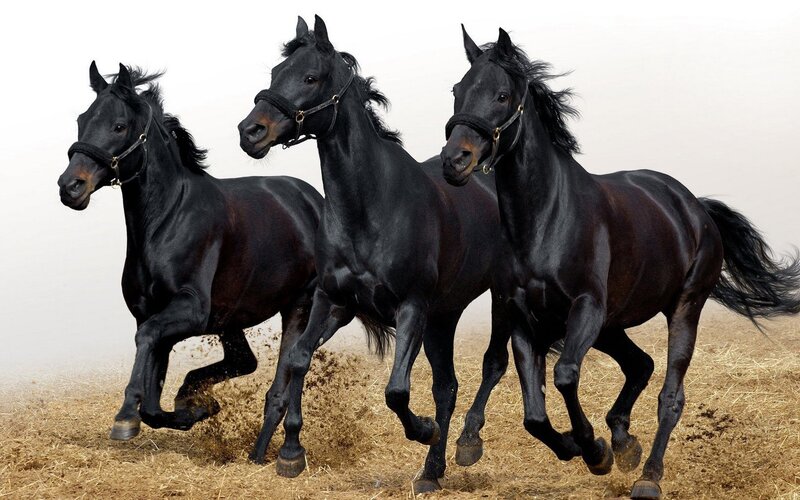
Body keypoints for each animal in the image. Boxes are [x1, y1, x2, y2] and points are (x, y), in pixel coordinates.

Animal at [57, 62, 327, 444]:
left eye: (119, 125)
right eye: (82, 120)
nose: (70, 187)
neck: (167, 221)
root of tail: (314, 200)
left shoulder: (190, 310)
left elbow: (146, 341)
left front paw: (125, 417)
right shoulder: (153, 313)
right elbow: (153, 401)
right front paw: (195, 409)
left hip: (298, 305)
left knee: (281, 374)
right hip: (231, 318)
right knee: (245, 361)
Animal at [235, 15, 550, 492]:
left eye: (310, 77)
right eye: (275, 72)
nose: (250, 132)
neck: (371, 207)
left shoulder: (411, 308)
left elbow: (397, 390)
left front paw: (423, 430)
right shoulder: (332, 300)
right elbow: (298, 359)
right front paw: (290, 453)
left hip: (495, 299)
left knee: (491, 364)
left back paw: (464, 444)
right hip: (442, 317)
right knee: (447, 387)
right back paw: (431, 473)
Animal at [440, 27, 800, 499]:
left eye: (502, 95)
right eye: (457, 90)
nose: (454, 161)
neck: (545, 220)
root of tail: (694, 207)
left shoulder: (586, 309)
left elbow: (565, 375)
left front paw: (594, 451)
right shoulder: (522, 317)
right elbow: (533, 413)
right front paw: (580, 446)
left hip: (681, 309)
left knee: (670, 395)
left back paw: (648, 475)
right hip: (613, 325)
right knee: (640, 364)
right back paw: (625, 443)